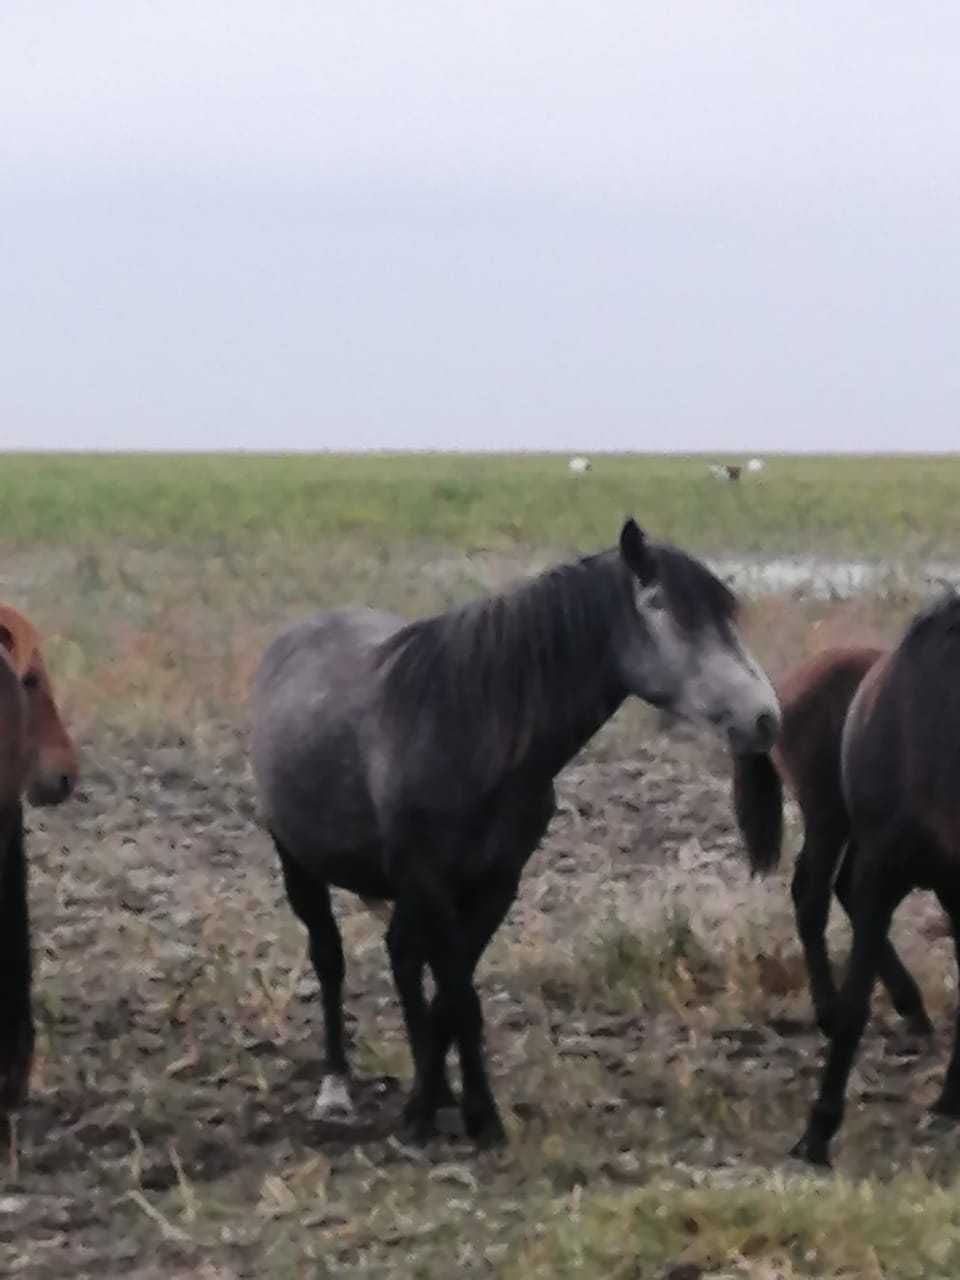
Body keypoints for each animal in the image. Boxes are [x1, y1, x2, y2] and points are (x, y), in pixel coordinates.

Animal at [249, 519, 783, 1152]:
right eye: (658, 605)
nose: (765, 718)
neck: (475, 733)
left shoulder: (497, 882)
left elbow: (451, 996)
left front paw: (451, 1106)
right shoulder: (432, 880)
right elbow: (459, 995)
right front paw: (457, 1114)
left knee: (403, 956)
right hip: (299, 862)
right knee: (330, 958)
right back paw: (335, 1086)